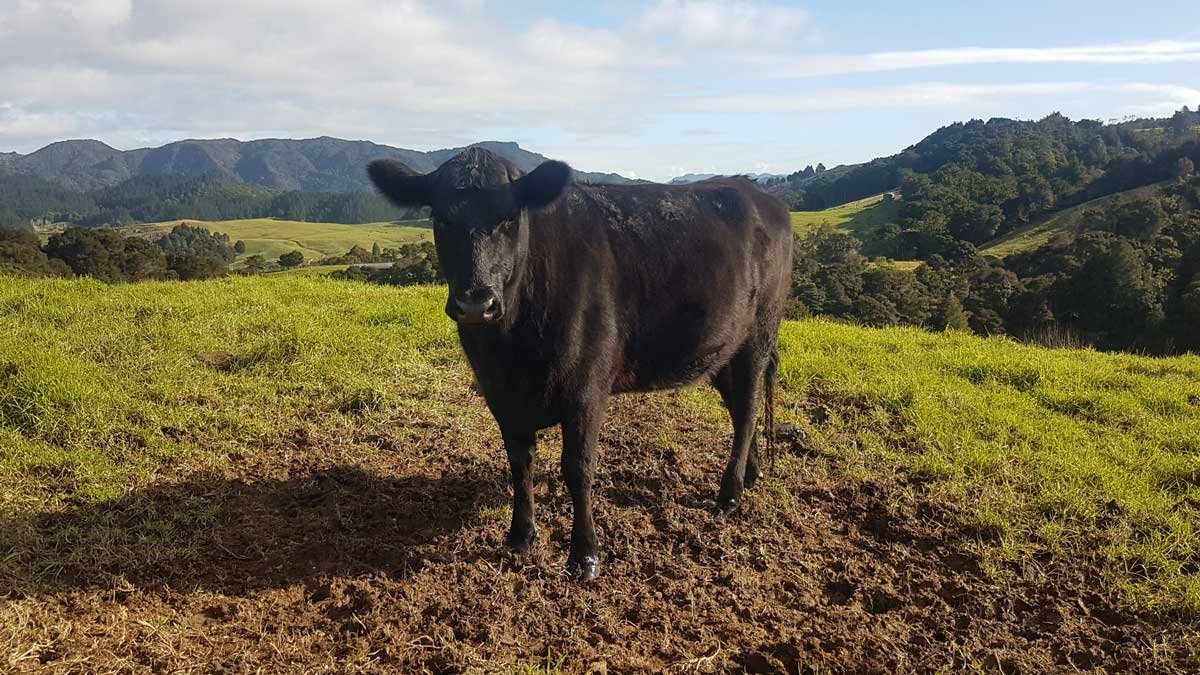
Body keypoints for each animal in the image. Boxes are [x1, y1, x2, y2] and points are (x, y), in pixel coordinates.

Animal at [368, 148, 793, 581]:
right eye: (441, 219)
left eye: (508, 218)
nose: (476, 303)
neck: (512, 350)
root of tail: (759, 194)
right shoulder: (499, 394)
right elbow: (519, 462)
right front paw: (521, 536)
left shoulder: (586, 389)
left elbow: (577, 468)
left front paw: (585, 555)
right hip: (723, 349)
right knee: (743, 408)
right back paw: (752, 473)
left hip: (759, 333)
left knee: (747, 410)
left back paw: (730, 494)